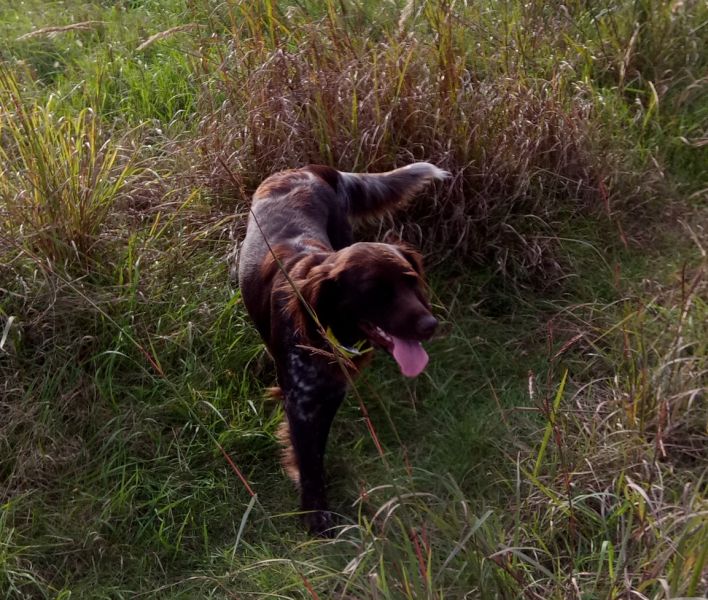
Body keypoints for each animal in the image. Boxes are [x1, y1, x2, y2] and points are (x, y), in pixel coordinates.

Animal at [237, 162, 449, 535]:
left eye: (411, 281)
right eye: (376, 291)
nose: (429, 326)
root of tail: (307, 168)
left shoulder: (330, 393)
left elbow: (316, 452)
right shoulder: (301, 403)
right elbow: (309, 461)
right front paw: (316, 516)